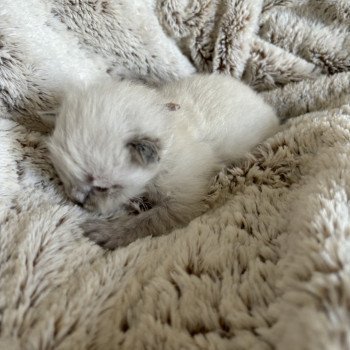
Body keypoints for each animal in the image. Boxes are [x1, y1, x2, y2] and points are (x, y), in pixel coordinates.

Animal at [47, 74, 280, 249]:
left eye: (102, 187)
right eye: (65, 178)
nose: (76, 200)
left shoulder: (182, 202)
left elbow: (147, 221)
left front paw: (107, 232)